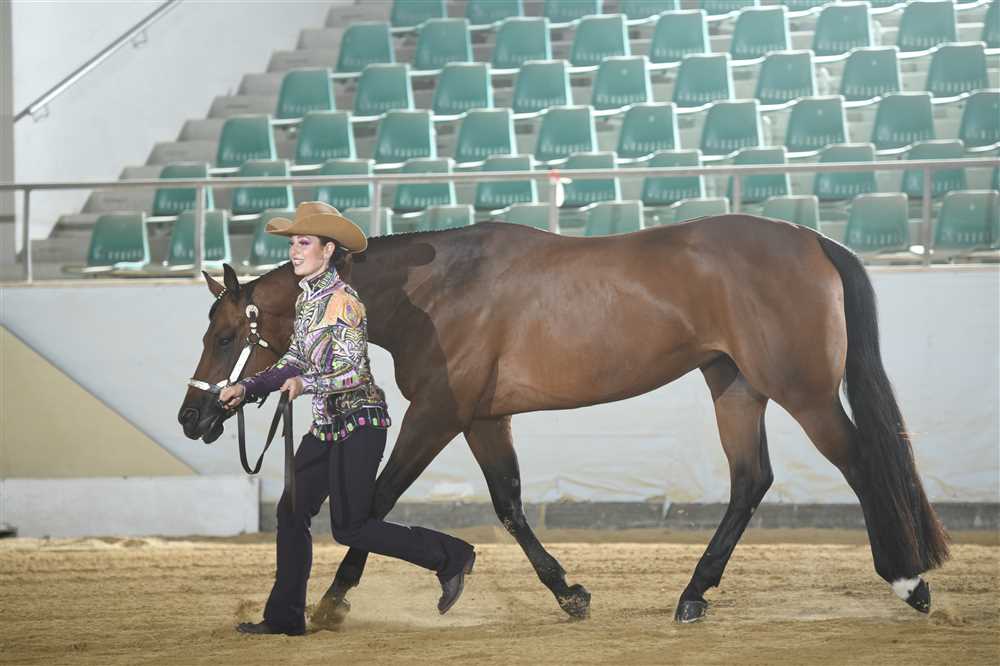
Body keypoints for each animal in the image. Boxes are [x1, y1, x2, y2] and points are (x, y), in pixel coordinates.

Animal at [178, 215, 950, 625]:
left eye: (227, 333)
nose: (192, 416)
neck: (437, 290)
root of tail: (812, 240)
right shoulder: (483, 419)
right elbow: (510, 506)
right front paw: (570, 593)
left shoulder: (436, 415)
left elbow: (375, 500)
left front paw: (333, 602)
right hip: (733, 386)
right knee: (749, 482)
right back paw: (692, 595)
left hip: (803, 391)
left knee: (861, 463)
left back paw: (909, 582)